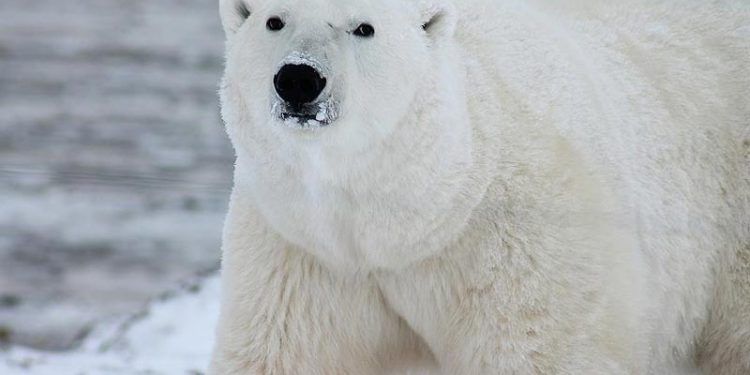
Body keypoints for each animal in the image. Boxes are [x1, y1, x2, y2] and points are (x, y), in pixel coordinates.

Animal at [210, 0, 750, 374]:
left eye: (363, 27)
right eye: (274, 20)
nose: (299, 79)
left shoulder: (519, 242)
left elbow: (537, 351)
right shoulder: (304, 251)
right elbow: (286, 352)